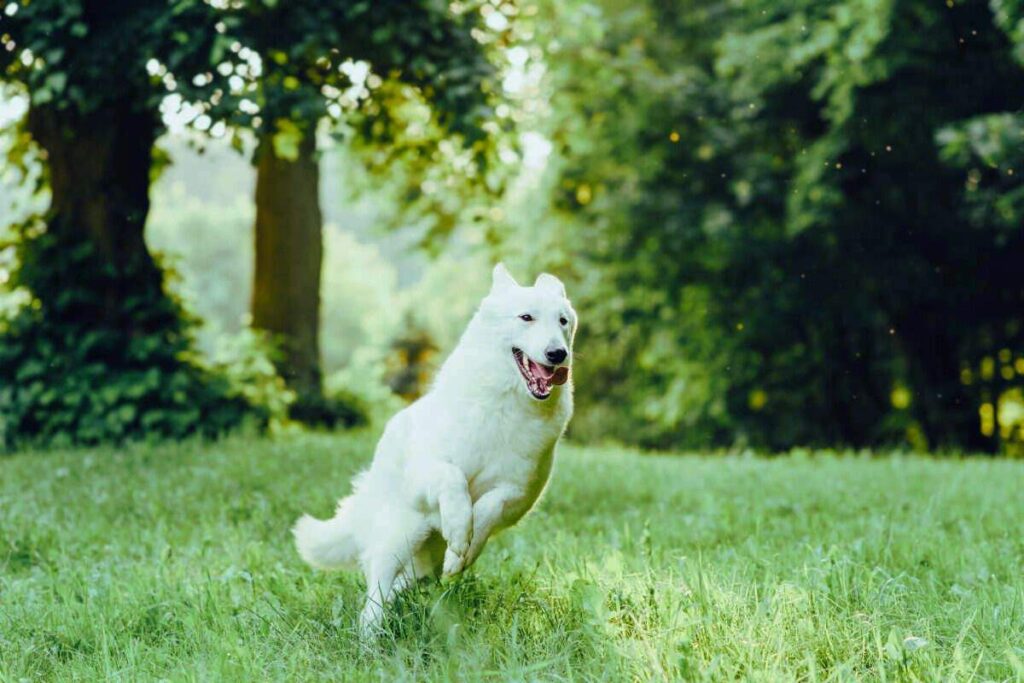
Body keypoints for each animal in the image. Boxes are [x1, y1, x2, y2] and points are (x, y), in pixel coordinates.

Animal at [296, 264, 577, 634]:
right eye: (526, 317)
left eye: (563, 321)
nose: (558, 354)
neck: (506, 406)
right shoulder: (426, 471)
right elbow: (453, 479)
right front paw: (458, 528)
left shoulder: (519, 494)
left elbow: (488, 508)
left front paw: (464, 550)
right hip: (400, 535)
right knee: (375, 592)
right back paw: (371, 635)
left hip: (420, 563)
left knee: (403, 582)